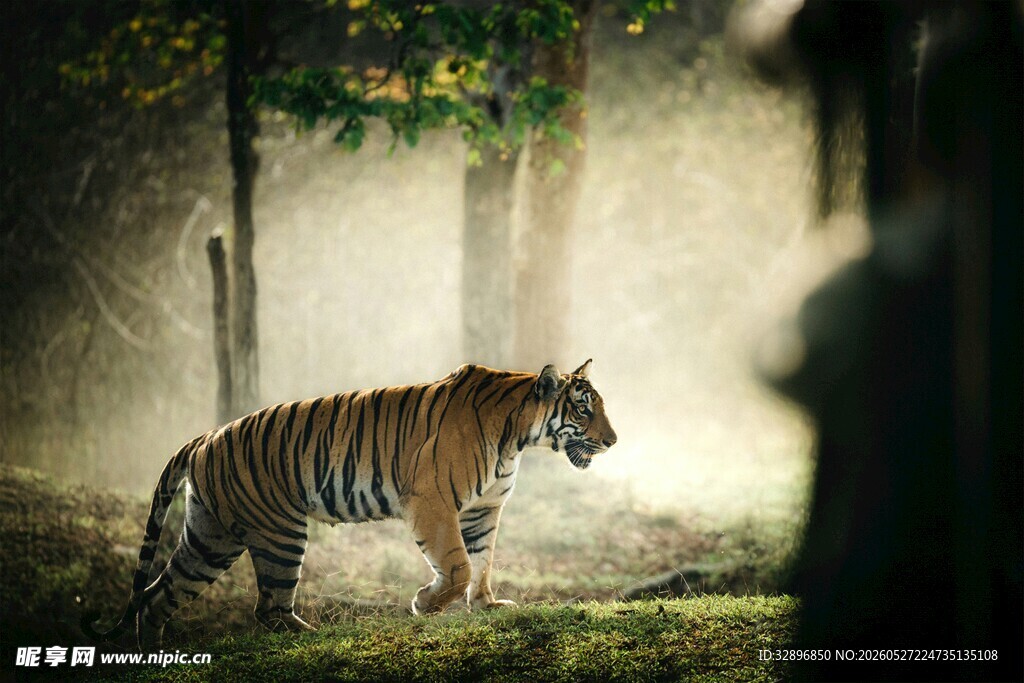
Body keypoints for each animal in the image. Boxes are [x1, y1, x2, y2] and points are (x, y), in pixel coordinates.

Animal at [82, 359, 616, 648]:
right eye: (582, 409)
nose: (612, 441)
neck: (517, 437)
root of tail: (205, 436)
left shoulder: (483, 510)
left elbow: (482, 563)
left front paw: (486, 606)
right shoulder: (432, 501)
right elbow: (459, 565)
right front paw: (425, 604)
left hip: (210, 537)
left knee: (158, 596)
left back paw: (153, 656)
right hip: (279, 532)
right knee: (267, 607)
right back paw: (313, 636)